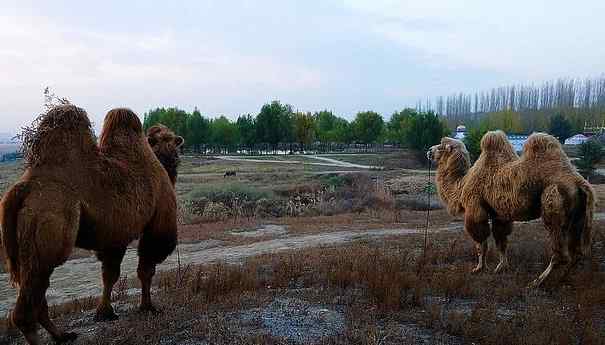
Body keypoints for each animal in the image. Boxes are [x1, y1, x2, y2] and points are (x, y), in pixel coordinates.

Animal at [1, 105, 183, 344]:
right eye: (168, 139)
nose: (176, 154)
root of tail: (23, 187)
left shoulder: (114, 236)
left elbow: (109, 275)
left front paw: (105, 313)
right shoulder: (157, 222)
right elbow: (146, 269)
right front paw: (148, 307)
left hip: (22, 243)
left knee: (35, 286)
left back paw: (63, 334)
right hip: (47, 222)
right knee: (32, 293)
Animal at [430, 130, 596, 286]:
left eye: (441, 146)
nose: (429, 150)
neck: (461, 185)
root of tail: (580, 183)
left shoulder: (475, 208)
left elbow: (481, 243)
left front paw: (479, 268)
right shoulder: (499, 215)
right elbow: (501, 242)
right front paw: (501, 267)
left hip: (553, 201)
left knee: (560, 252)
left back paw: (537, 282)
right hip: (578, 216)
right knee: (576, 252)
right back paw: (562, 278)